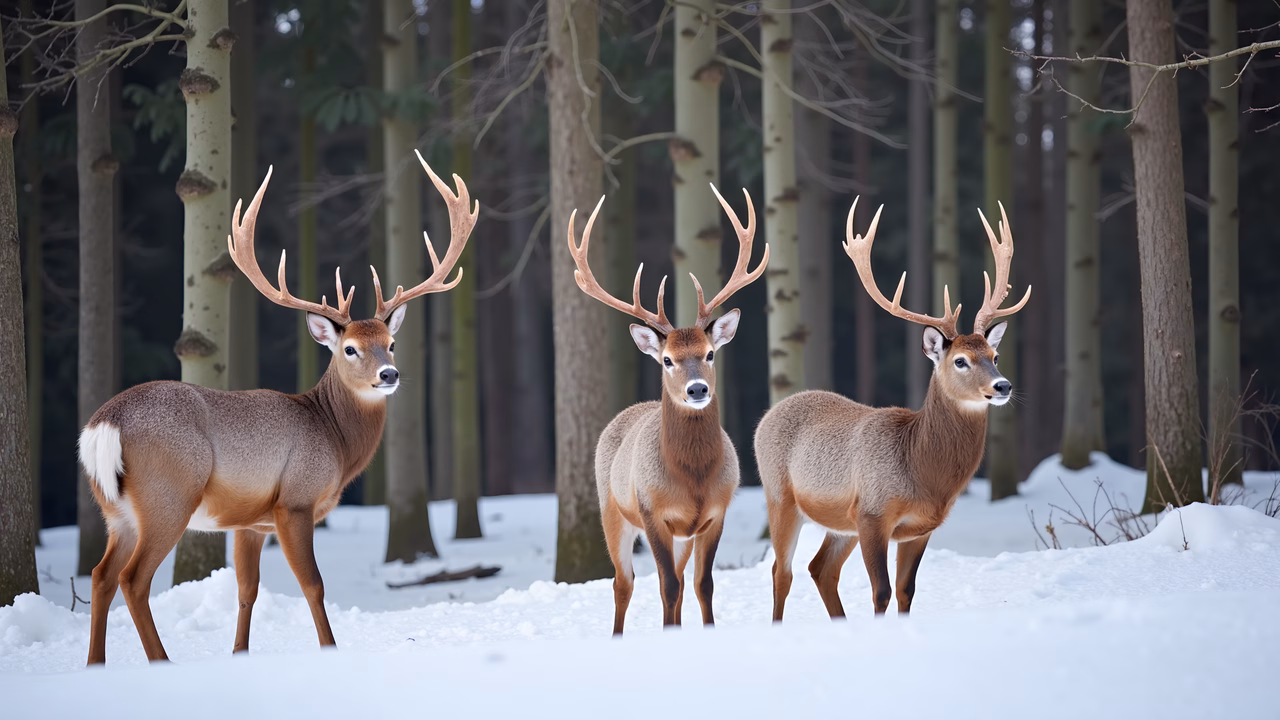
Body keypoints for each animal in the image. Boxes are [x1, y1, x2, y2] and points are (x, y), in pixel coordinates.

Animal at [75, 151, 476, 665]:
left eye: (391, 343)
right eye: (349, 348)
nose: (389, 375)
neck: (334, 439)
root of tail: (104, 423)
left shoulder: (251, 523)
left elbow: (247, 590)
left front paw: (240, 653)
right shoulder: (294, 500)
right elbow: (314, 585)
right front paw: (329, 648)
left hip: (115, 510)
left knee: (101, 576)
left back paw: (95, 664)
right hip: (168, 495)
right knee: (133, 579)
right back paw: (161, 661)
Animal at [568, 185, 768, 635]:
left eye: (710, 353)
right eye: (667, 360)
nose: (697, 389)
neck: (691, 480)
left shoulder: (715, 513)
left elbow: (701, 585)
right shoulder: (652, 512)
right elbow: (666, 586)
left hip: (680, 536)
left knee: (673, 580)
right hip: (611, 510)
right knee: (623, 583)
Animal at [754, 198, 1030, 622]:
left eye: (994, 356)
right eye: (961, 361)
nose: (1003, 386)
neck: (921, 471)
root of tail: (768, 415)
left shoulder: (920, 528)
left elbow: (905, 591)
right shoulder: (872, 513)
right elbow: (881, 591)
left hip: (839, 523)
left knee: (820, 568)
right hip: (780, 496)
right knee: (781, 571)